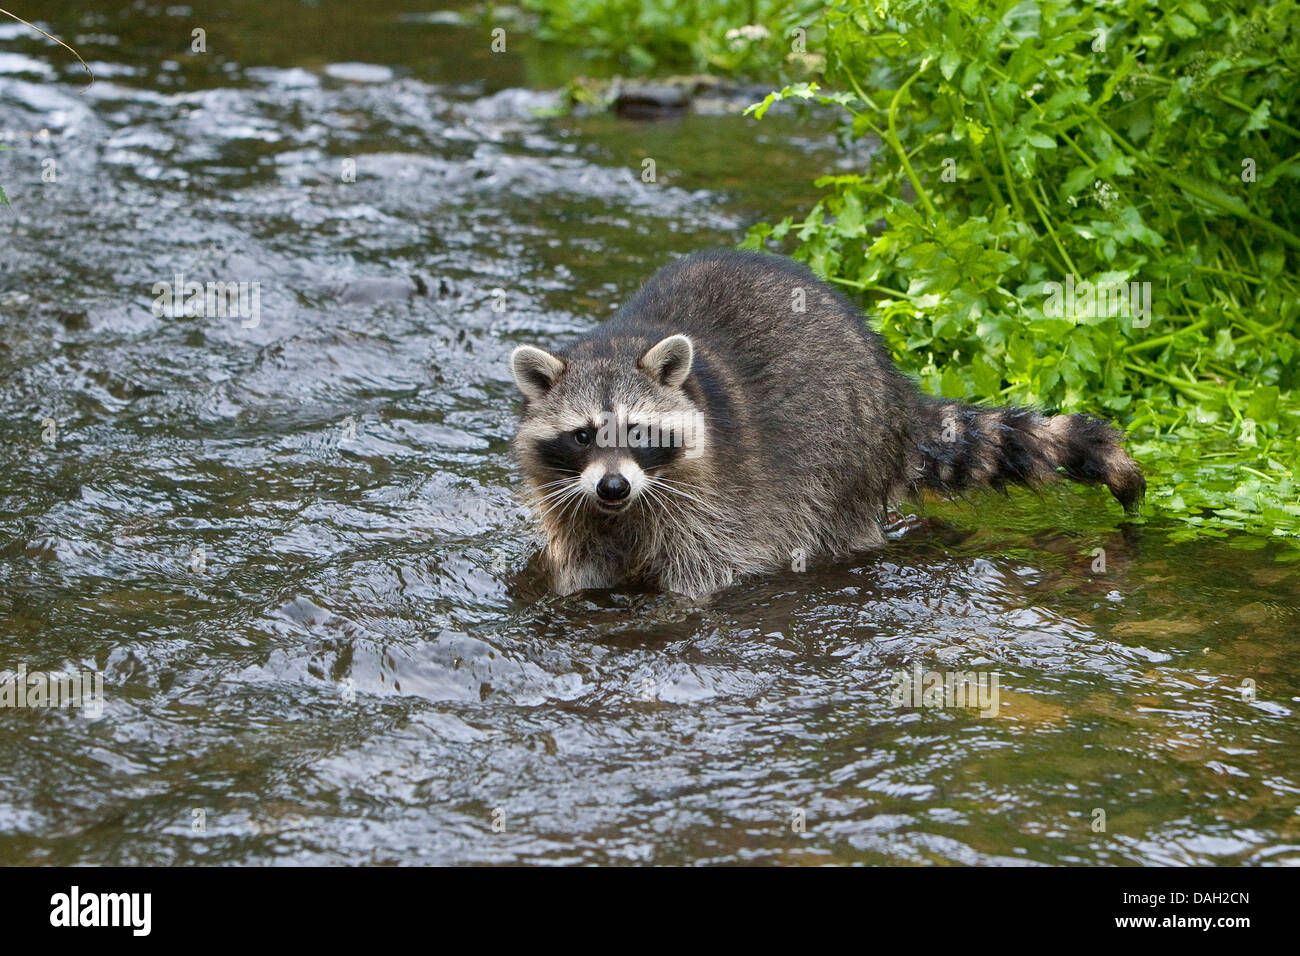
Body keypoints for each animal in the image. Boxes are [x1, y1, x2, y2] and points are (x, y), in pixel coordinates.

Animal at [512, 252, 1144, 598]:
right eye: (584, 435)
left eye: (639, 433)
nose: (613, 487)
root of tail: (892, 391)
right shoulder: (571, 500)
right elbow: (579, 566)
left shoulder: (715, 498)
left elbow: (705, 570)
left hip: (844, 456)